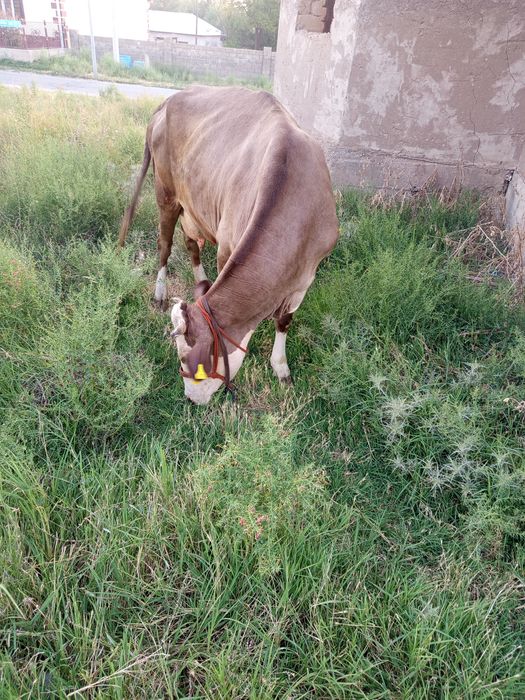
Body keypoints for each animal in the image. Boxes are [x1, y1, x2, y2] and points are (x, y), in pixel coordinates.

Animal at [118, 86, 339, 404]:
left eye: (186, 361)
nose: (189, 399)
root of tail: (171, 98)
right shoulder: (226, 249)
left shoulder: (306, 275)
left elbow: (284, 321)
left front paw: (281, 368)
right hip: (165, 192)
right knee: (165, 244)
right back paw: (159, 292)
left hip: (193, 205)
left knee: (190, 244)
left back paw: (200, 280)